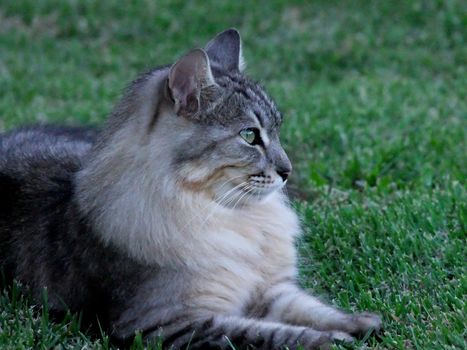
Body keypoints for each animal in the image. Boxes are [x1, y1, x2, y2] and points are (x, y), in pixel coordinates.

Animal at [0, 28, 380, 348]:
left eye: (277, 131)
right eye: (250, 135)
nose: (287, 171)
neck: (228, 216)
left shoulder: (269, 289)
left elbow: (313, 308)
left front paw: (362, 323)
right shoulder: (167, 324)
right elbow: (269, 334)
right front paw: (333, 340)